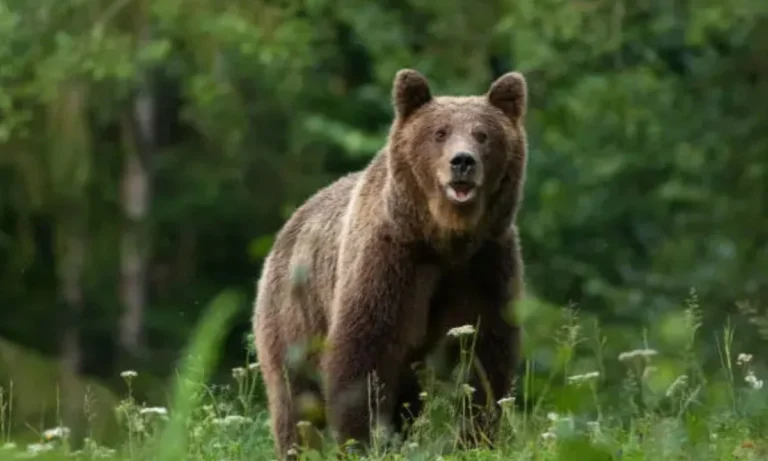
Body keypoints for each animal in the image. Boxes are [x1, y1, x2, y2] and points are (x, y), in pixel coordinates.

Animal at [252, 68, 528, 459]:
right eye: (439, 132)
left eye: (483, 134)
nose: (462, 162)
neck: (444, 239)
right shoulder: (390, 262)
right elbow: (363, 354)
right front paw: (362, 441)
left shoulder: (484, 264)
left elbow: (484, 356)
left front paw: (476, 439)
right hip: (293, 314)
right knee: (296, 399)